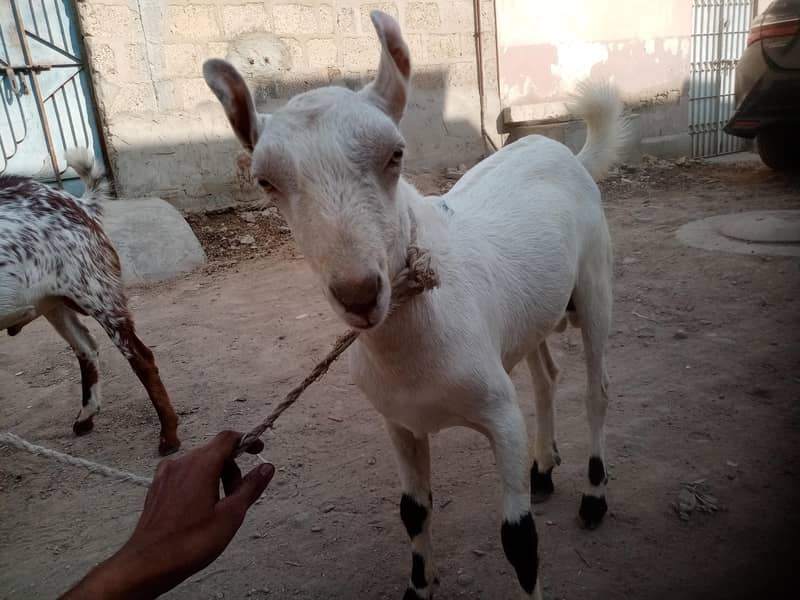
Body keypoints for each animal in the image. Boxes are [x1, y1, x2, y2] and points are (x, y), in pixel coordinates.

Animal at [0, 149, 180, 456]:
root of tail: (78, 203)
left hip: (96, 291)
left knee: (141, 357)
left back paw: (169, 437)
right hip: (52, 302)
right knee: (85, 346)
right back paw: (85, 417)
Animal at [204, 10, 626, 598]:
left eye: (396, 154)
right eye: (265, 181)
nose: (359, 293)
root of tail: (561, 151)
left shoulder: (499, 415)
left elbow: (519, 539)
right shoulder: (399, 423)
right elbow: (413, 511)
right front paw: (418, 585)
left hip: (593, 282)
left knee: (596, 389)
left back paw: (594, 496)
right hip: (532, 312)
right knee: (546, 375)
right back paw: (544, 470)